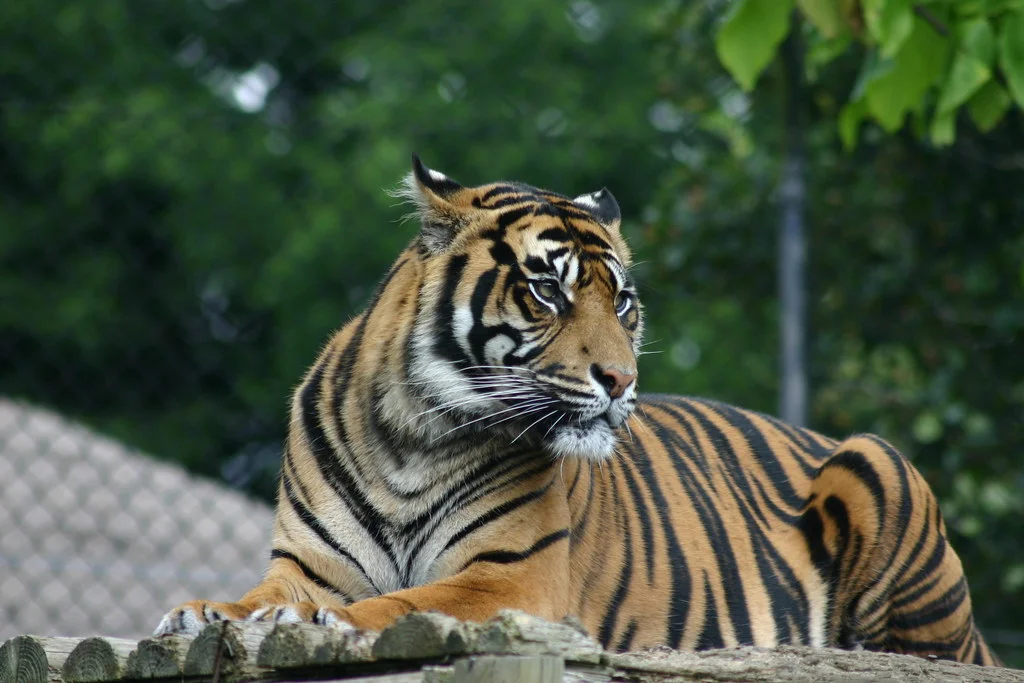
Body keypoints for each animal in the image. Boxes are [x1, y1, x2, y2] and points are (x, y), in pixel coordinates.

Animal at [154, 155, 1000, 666]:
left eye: (622, 302)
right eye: (547, 291)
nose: (622, 380)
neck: (412, 434)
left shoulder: (510, 580)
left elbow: (401, 599)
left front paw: (302, 626)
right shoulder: (307, 564)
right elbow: (260, 595)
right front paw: (203, 613)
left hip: (879, 463)